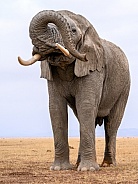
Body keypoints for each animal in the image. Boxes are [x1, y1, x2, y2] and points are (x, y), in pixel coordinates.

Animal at [18, 9, 130, 171]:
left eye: (73, 31)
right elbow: (56, 108)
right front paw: (58, 169)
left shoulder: (93, 67)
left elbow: (86, 105)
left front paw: (88, 170)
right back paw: (78, 163)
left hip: (124, 87)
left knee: (111, 124)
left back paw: (107, 164)